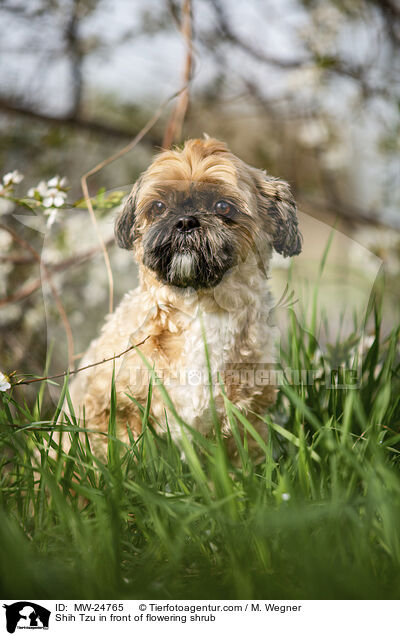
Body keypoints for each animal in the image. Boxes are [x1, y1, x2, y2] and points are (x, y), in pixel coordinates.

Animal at [66, 138, 304, 458]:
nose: (185, 222)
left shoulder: (246, 417)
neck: (200, 308)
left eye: (223, 206)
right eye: (158, 206)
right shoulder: (112, 410)